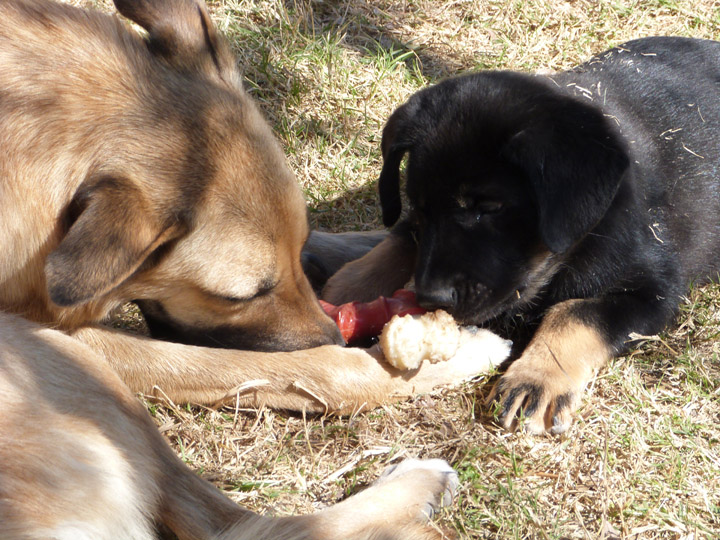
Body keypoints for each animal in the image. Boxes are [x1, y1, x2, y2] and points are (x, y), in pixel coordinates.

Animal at [0, 0, 478, 536]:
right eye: (239, 297)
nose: (334, 335)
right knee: (245, 525)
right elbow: (299, 370)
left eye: (300, 240)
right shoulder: (62, 329)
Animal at [320, 37, 720, 434]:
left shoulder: (653, 290)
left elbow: (573, 313)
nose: (431, 297)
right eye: (420, 209)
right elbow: (396, 241)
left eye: (489, 207)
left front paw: (538, 377)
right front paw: (341, 296)